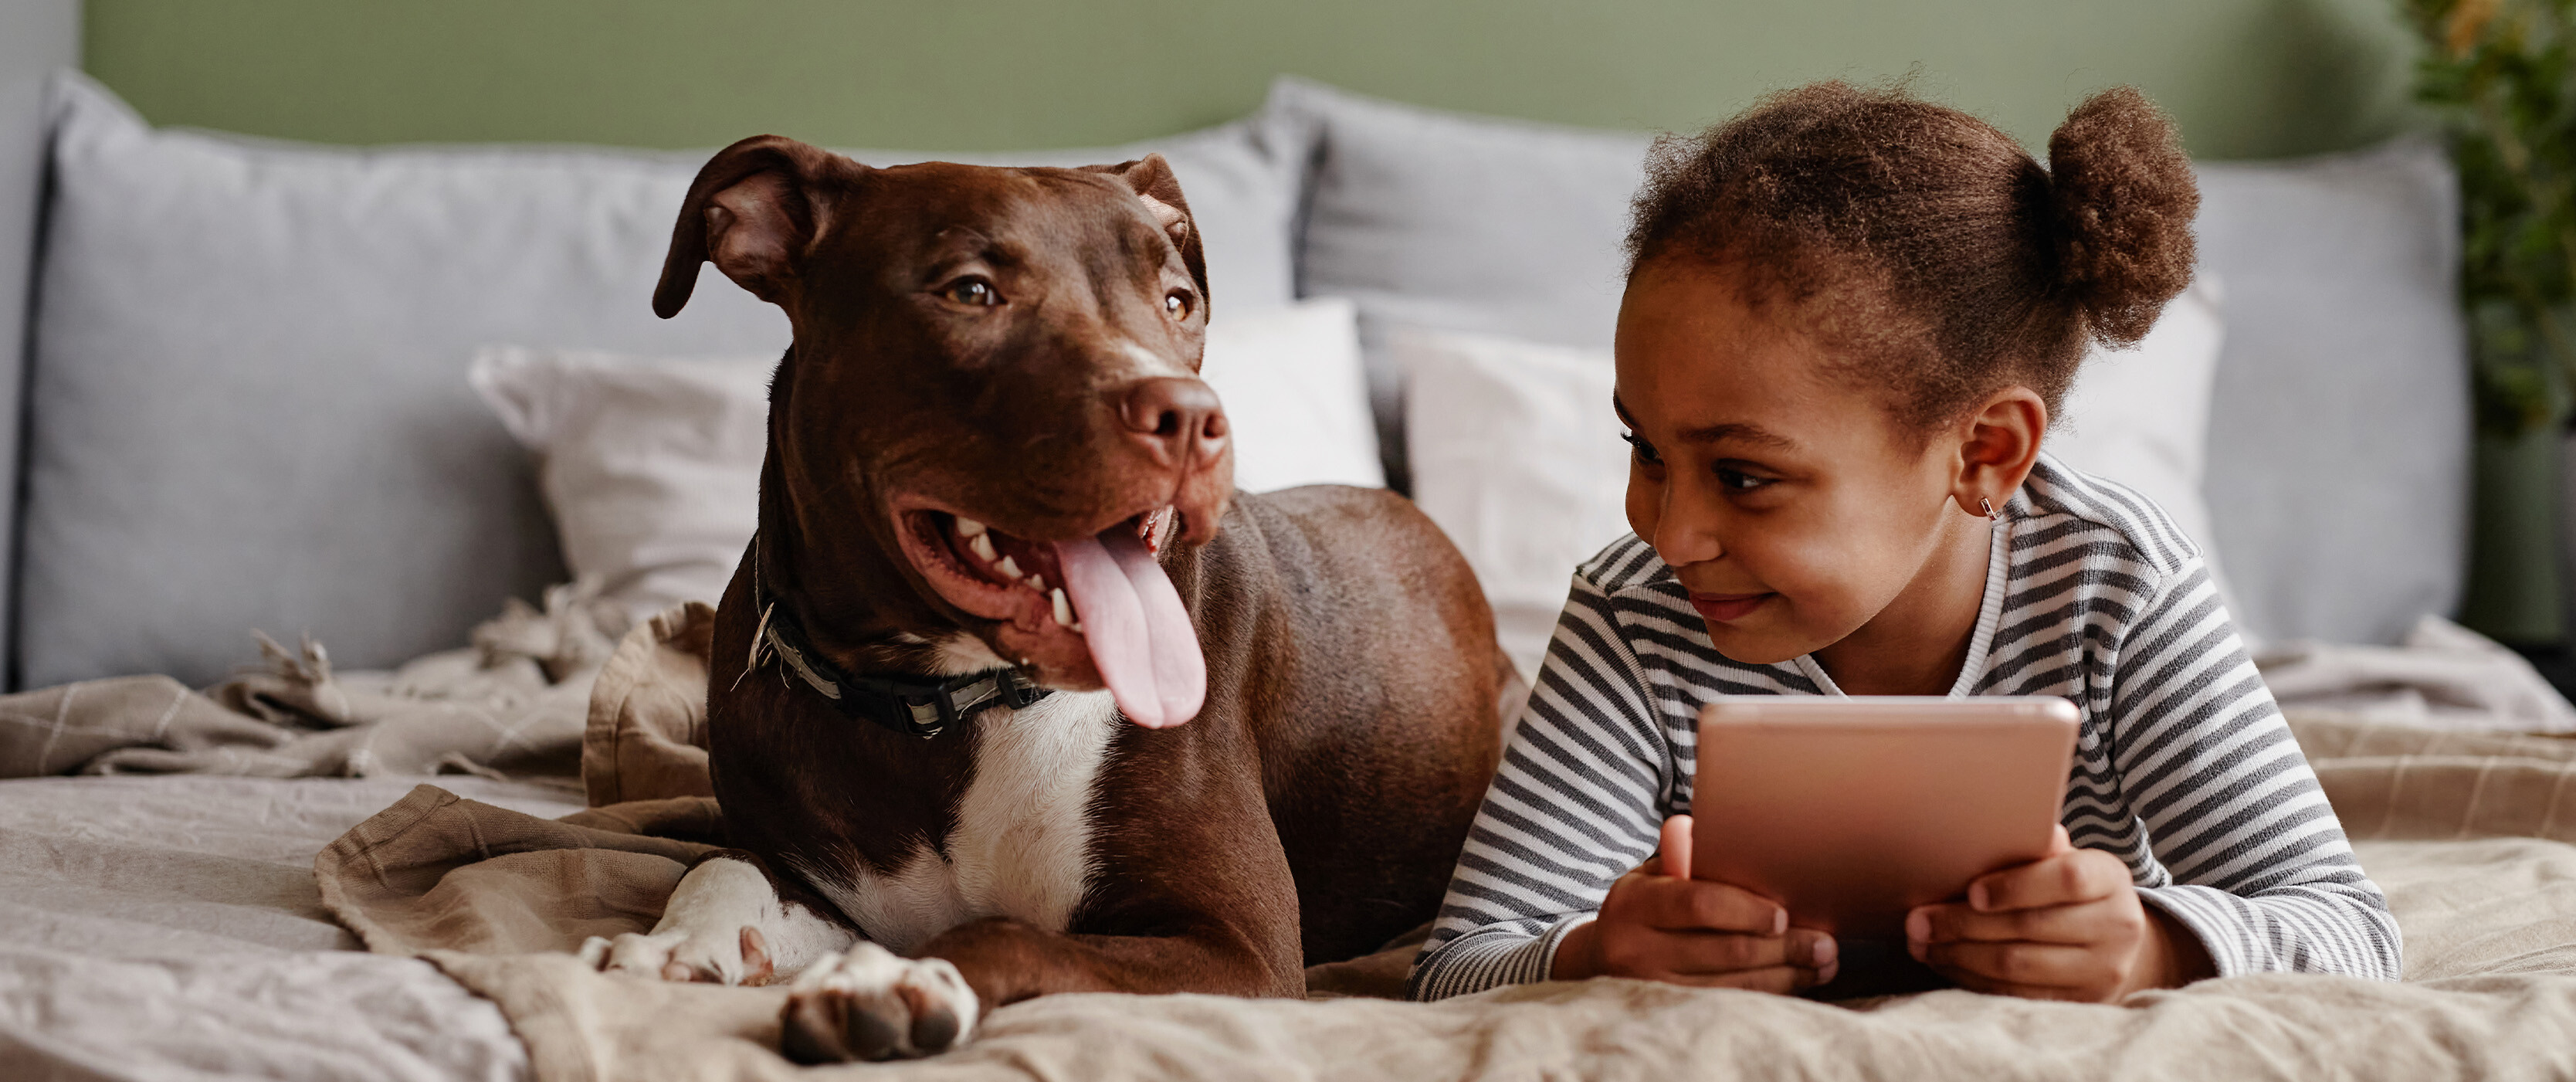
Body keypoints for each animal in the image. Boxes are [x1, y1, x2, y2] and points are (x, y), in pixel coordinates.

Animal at [579, 137, 1504, 1066]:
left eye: (1178, 302)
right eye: (971, 292)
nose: (1194, 418)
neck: (935, 704)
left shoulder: (1241, 947)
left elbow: (1010, 933)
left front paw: (896, 979)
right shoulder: (810, 874)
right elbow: (719, 866)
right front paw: (677, 944)